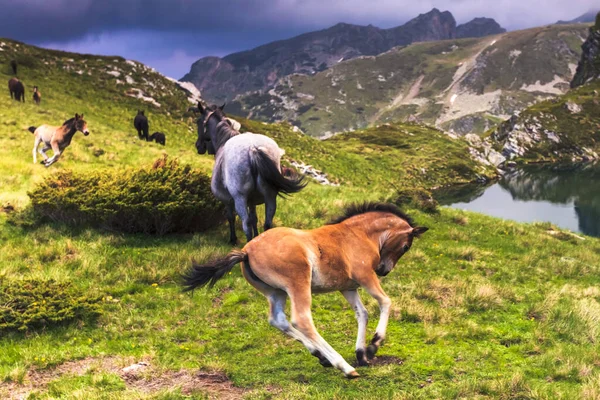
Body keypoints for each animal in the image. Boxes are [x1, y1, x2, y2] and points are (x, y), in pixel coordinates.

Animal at [184, 203, 432, 378]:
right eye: (406, 246)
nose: (383, 270)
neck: (358, 234)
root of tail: (246, 251)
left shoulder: (348, 287)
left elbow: (362, 313)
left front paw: (362, 354)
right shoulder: (365, 277)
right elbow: (385, 302)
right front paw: (374, 345)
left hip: (275, 292)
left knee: (278, 320)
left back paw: (321, 355)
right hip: (298, 284)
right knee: (301, 319)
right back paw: (343, 366)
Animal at [191, 102, 304, 244]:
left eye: (198, 121)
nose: (198, 146)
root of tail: (253, 148)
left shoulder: (227, 200)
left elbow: (231, 217)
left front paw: (233, 239)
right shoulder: (252, 201)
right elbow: (254, 218)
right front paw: (257, 237)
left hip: (240, 198)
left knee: (246, 225)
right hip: (270, 196)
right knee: (267, 224)